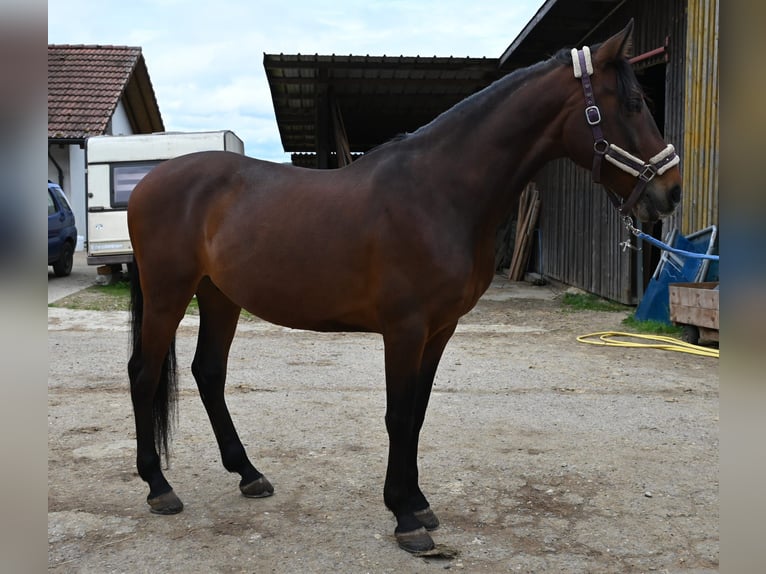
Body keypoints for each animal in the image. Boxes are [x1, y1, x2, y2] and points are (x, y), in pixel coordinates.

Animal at [126, 20, 681, 553]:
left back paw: (248, 473)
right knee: (144, 374)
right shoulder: (405, 329)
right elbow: (397, 415)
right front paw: (405, 519)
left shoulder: (439, 330)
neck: (438, 192)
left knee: (208, 373)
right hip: (168, 295)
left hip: (219, 297)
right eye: (634, 103)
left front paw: (418, 503)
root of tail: (148, 182)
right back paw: (158, 487)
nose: (670, 193)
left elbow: (416, 414)